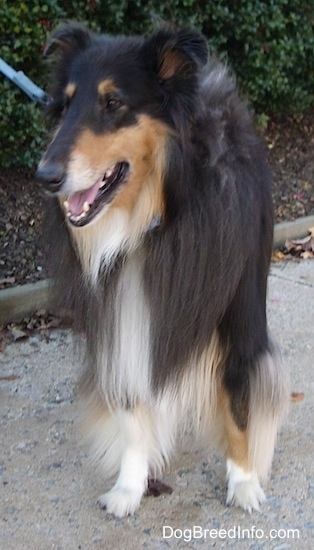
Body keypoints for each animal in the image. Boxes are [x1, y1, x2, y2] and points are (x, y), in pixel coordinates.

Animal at [36, 23, 290, 520]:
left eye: (113, 102)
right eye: (66, 103)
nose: (46, 175)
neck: (157, 220)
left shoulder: (240, 316)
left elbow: (239, 401)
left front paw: (244, 480)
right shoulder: (123, 311)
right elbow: (133, 407)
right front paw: (130, 486)